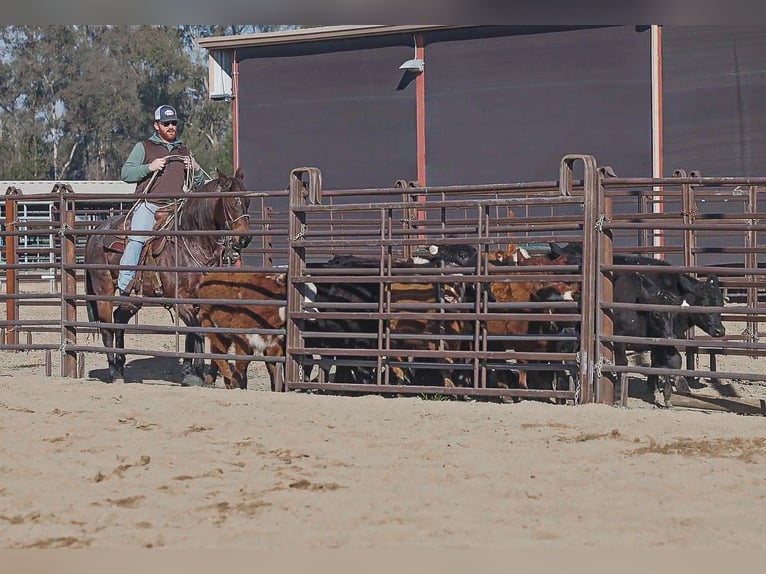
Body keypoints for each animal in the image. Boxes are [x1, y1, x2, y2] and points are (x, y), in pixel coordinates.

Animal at [84, 168, 251, 386]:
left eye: (248, 201)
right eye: (232, 201)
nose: (245, 239)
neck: (193, 240)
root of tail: (95, 233)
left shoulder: (199, 300)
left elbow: (192, 334)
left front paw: (190, 372)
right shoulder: (180, 299)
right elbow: (196, 330)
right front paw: (196, 372)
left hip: (134, 298)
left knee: (119, 318)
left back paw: (120, 367)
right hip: (103, 290)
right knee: (106, 327)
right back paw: (114, 373)